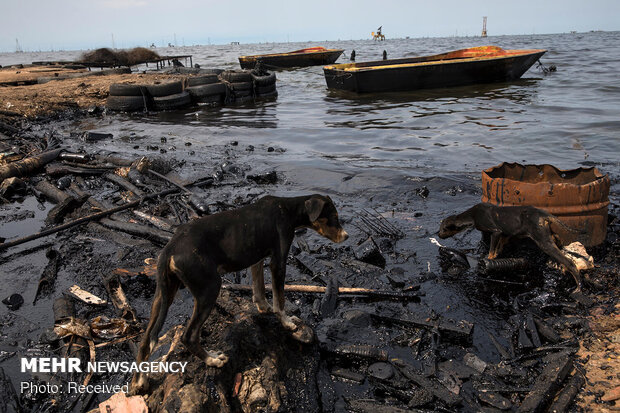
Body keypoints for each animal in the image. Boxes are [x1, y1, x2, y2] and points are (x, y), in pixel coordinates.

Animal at [130, 194, 346, 392]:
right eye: (334, 216)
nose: (346, 236)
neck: (289, 209)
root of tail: (170, 247)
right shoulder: (278, 262)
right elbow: (280, 299)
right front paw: (287, 322)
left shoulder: (257, 257)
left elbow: (259, 288)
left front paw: (264, 308)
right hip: (209, 288)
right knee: (189, 336)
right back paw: (213, 359)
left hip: (163, 293)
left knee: (146, 339)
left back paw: (138, 381)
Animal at [438, 202, 584, 292]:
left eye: (443, 229)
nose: (438, 235)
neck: (472, 215)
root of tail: (544, 214)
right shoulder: (505, 234)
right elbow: (498, 248)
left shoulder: (495, 231)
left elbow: (492, 251)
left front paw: (488, 262)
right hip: (548, 235)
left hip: (543, 241)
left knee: (569, 262)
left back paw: (578, 286)